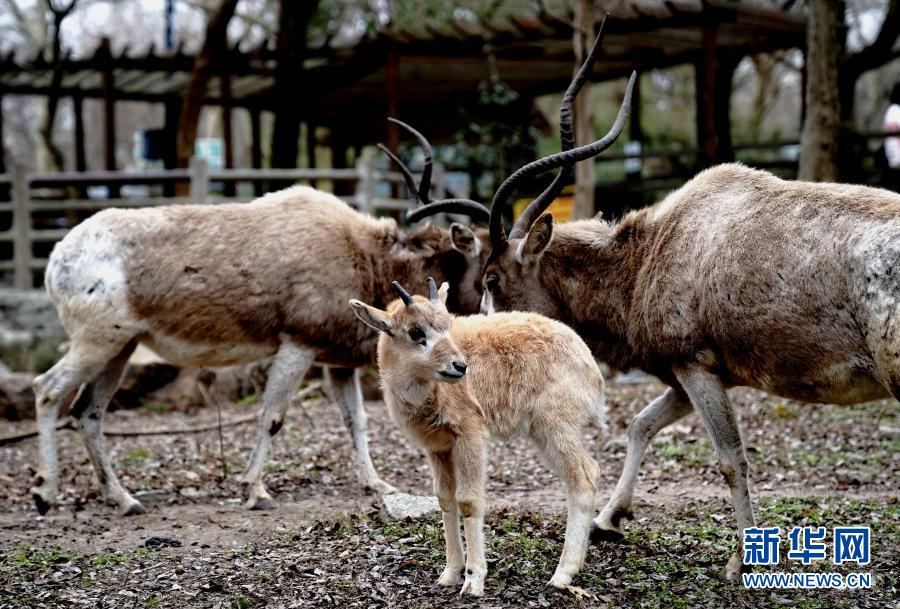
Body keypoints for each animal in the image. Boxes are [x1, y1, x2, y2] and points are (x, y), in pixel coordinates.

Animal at [31, 150, 492, 516]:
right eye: (486, 263)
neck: (360, 253)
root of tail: (58, 257)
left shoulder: (336, 362)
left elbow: (356, 420)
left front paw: (376, 483)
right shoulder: (297, 345)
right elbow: (272, 415)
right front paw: (255, 489)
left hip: (120, 348)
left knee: (87, 412)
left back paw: (124, 500)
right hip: (97, 341)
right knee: (48, 389)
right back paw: (44, 492)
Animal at [352, 278, 604, 596]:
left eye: (447, 325)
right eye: (415, 332)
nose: (459, 366)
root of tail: (589, 363)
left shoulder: (470, 435)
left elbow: (468, 500)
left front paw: (473, 580)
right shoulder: (437, 447)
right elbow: (444, 499)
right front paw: (449, 574)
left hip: (556, 426)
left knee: (584, 477)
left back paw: (562, 574)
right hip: (542, 432)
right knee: (587, 472)